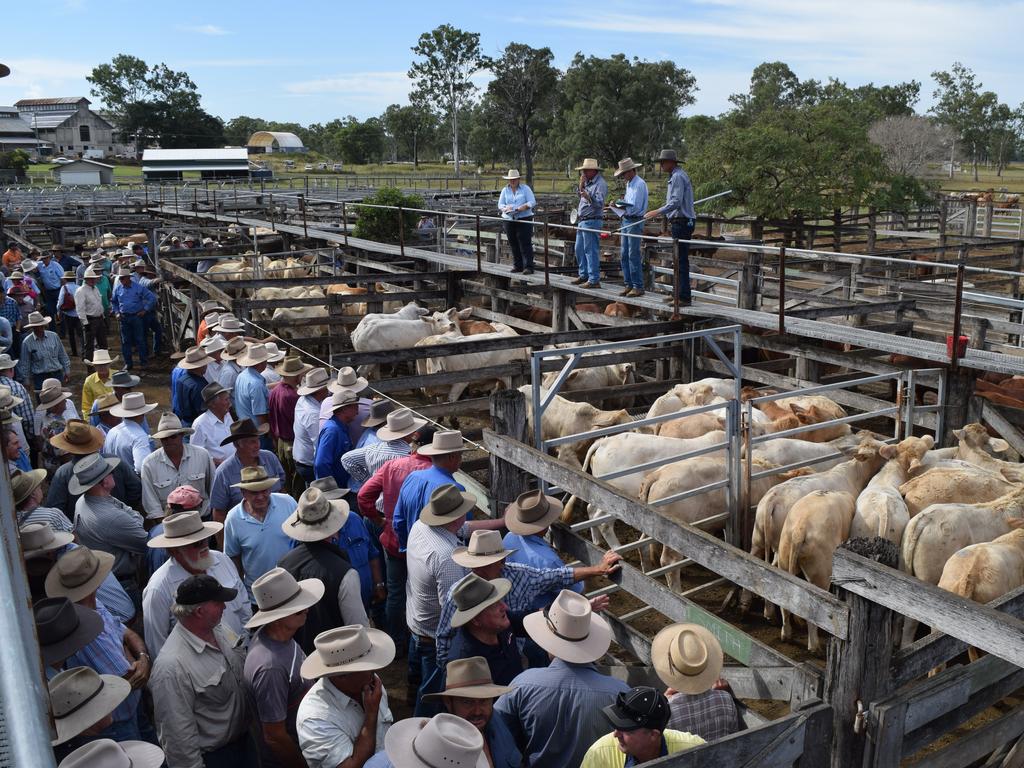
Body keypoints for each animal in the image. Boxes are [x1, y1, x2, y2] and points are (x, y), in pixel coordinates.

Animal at [778, 489, 860, 651]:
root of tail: (800, 528)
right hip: (821, 568)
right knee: (814, 606)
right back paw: (814, 647)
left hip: (784, 554)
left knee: (784, 599)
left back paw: (786, 635)